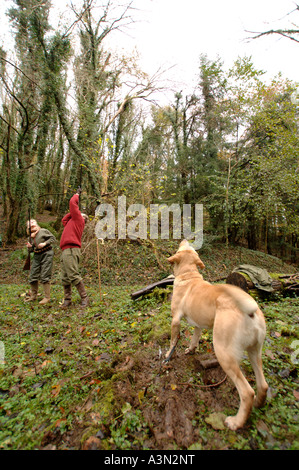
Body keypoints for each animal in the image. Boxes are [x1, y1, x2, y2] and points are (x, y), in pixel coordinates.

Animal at [166, 241, 270, 432]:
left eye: (185, 248)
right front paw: (191, 350)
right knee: (263, 385)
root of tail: (250, 310)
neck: (188, 274)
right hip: (255, 352)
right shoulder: (198, 325)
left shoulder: (175, 320)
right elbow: (194, 339)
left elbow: (172, 342)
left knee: (247, 392)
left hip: (224, 354)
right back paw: (258, 404)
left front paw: (168, 357)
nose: (186, 239)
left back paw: (236, 422)